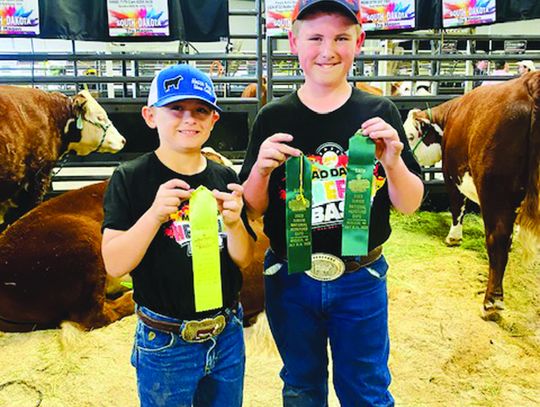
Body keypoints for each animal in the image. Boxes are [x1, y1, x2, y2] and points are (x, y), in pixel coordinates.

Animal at [404, 71, 540, 318]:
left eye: (410, 135)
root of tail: (530, 83)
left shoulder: (450, 174)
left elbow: (458, 206)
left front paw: (453, 237)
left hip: (494, 189)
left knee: (497, 238)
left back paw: (491, 302)